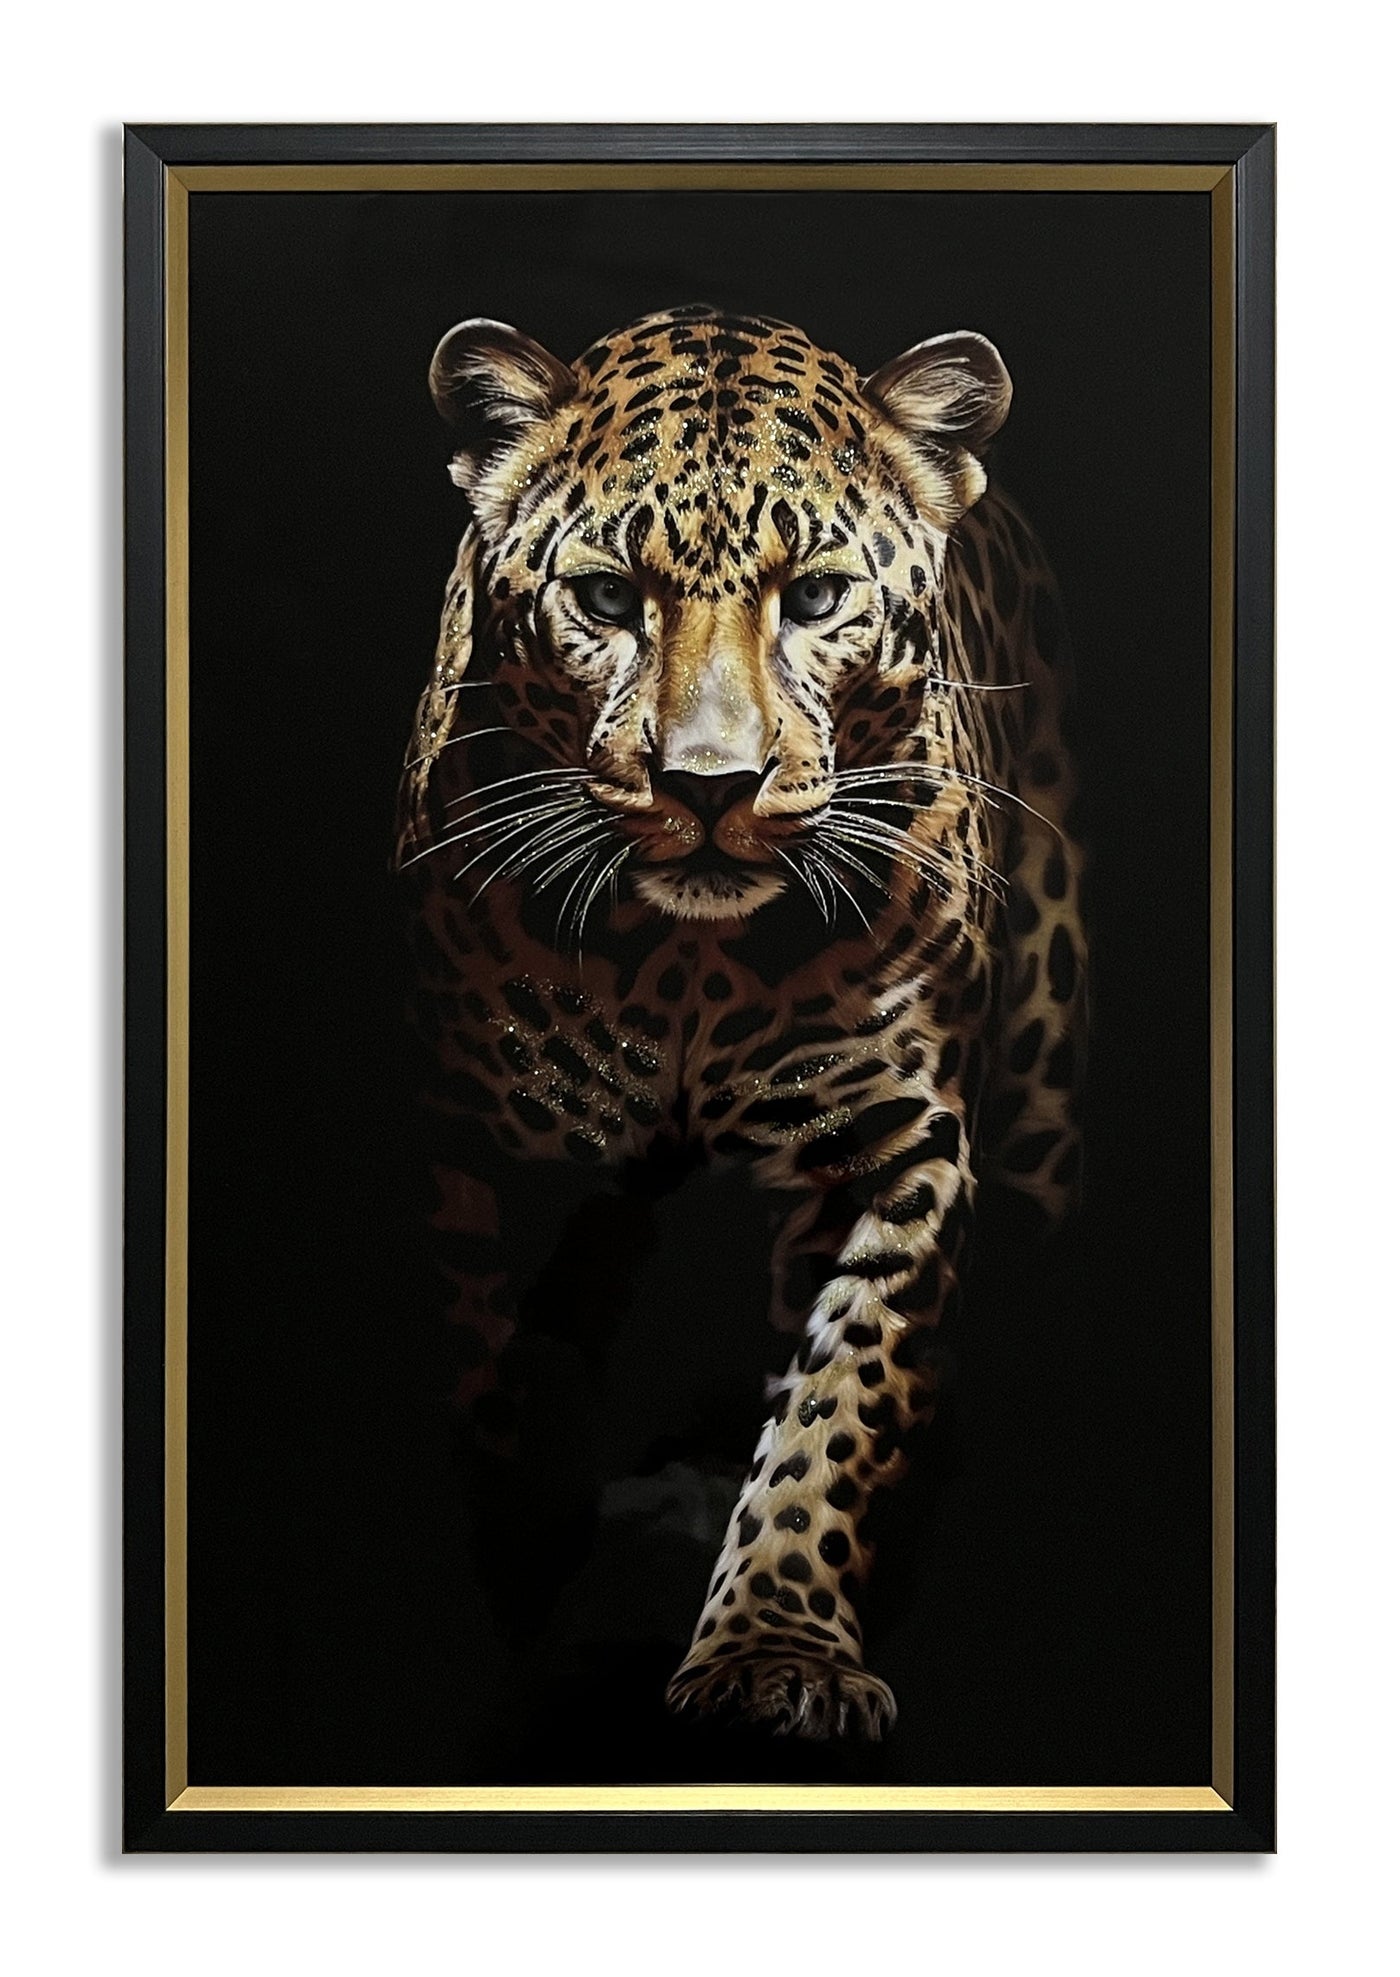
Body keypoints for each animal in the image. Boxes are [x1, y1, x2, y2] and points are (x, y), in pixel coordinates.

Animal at [395, 303, 1087, 1741]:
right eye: (608, 599)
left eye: (814, 597)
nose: (708, 786)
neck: (686, 969)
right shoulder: (461, 1139)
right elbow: (501, 1385)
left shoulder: (898, 1148)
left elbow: (840, 1405)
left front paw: (775, 1650)